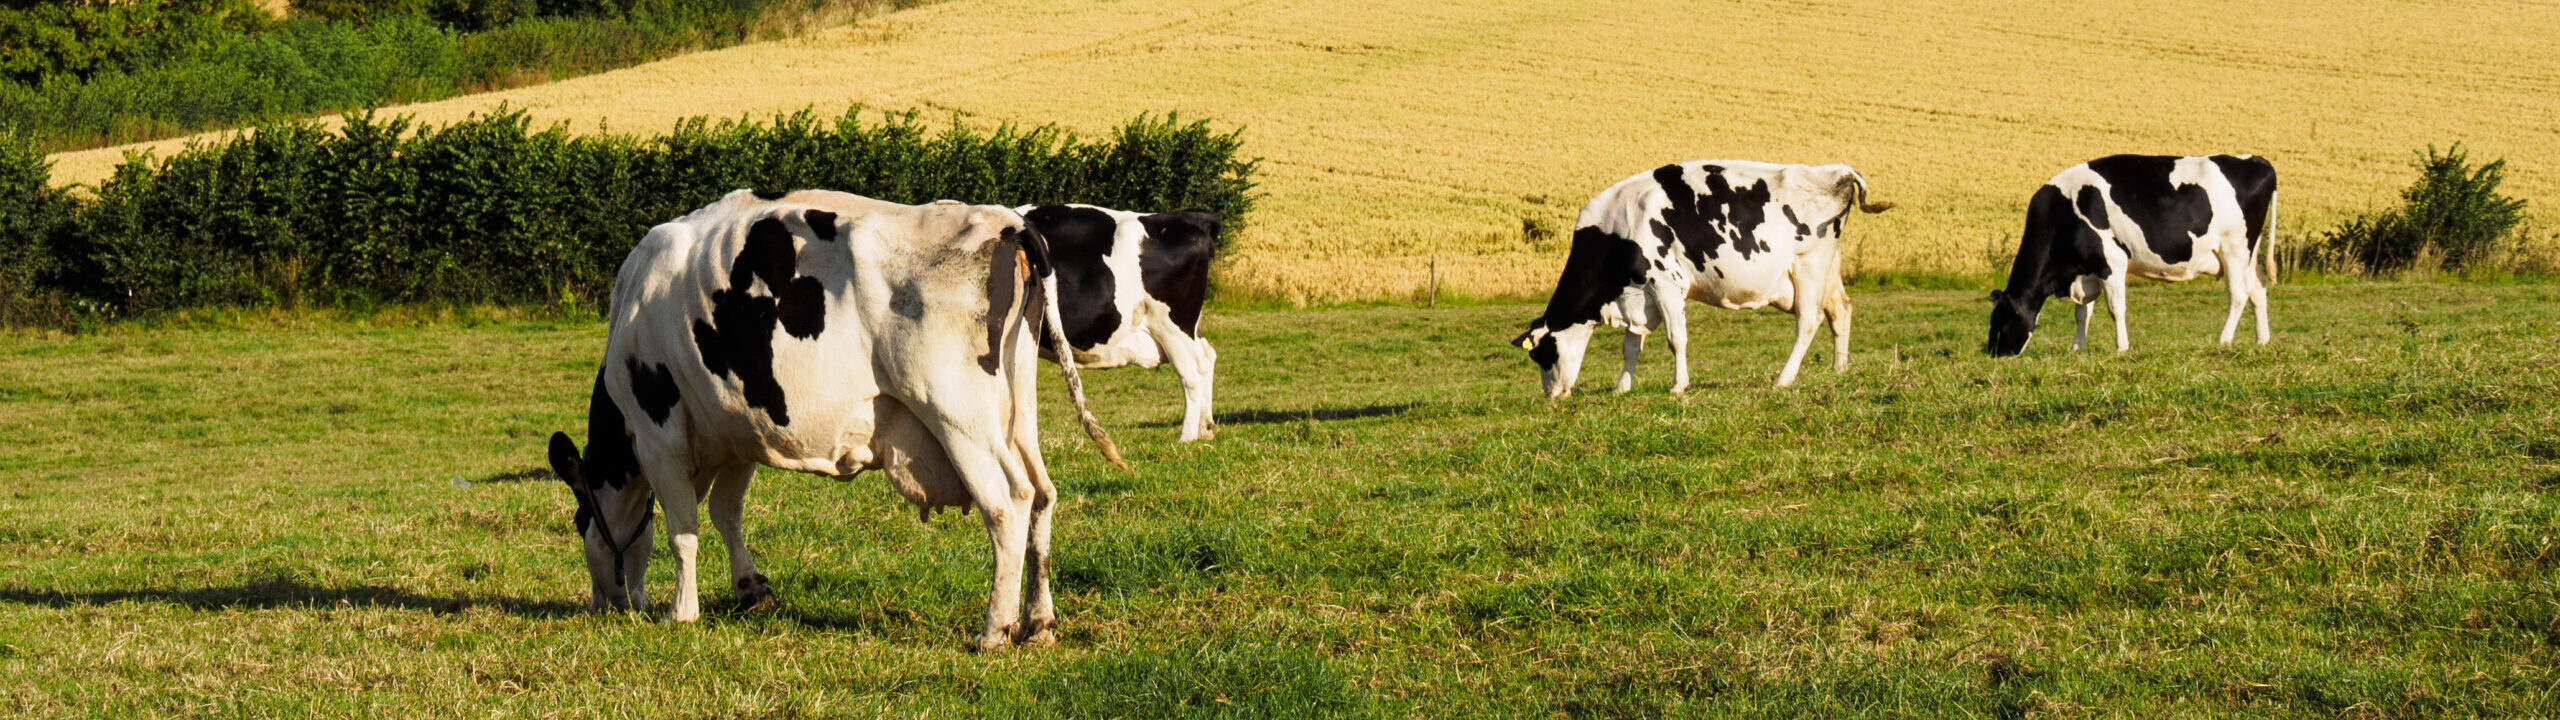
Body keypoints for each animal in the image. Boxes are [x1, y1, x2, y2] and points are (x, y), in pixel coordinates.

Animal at [540, 188, 1121, 648]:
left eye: (579, 521)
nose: (605, 603)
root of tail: (1007, 220)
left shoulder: (657, 433)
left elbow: (682, 529)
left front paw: (681, 612)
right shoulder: (738, 428)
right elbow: (727, 514)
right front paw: (751, 590)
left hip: (958, 414)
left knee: (1007, 503)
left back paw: (994, 630)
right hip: (1016, 409)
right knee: (1043, 495)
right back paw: (1037, 621)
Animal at [1013, 202, 1223, 438]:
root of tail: (1189, 217)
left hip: (1172, 326)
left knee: (1192, 371)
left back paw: (1186, 436)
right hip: (1185, 329)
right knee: (1207, 356)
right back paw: (1204, 428)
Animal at [1505, 158, 1894, 394]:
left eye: (1542, 354)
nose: (1551, 395)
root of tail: (1834, 171)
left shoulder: (1666, 283)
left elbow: (1676, 339)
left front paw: (1678, 386)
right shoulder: (1639, 297)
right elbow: (1631, 346)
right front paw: (1621, 387)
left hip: (1808, 268)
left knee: (1808, 321)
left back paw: (1784, 378)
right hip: (1828, 268)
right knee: (1841, 311)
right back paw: (1839, 370)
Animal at [1976, 152, 2283, 353]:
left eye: (2001, 321)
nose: (1993, 354)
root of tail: (2253, 159)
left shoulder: (2110, 262)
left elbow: (2116, 308)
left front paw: (2121, 347)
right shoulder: (2086, 269)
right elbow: (2082, 313)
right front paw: (2076, 348)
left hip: (2234, 248)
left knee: (2239, 295)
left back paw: (2224, 340)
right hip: (2249, 254)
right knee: (2258, 290)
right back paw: (2263, 340)